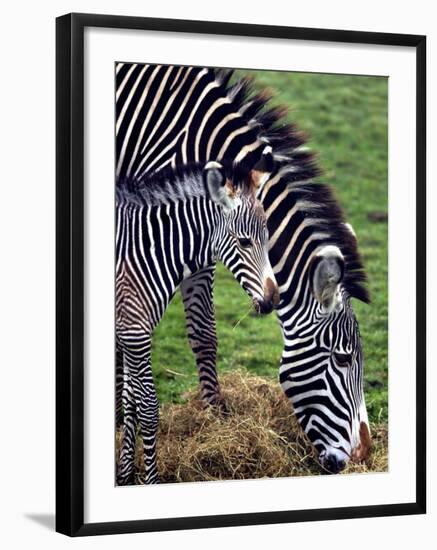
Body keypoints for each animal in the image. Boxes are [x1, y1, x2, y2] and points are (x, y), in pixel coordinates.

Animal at [115, 162, 280, 486]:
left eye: (268, 238)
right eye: (244, 242)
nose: (272, 301)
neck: (145, 252)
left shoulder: (129, 333)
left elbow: (130, 403)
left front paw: (125, 473)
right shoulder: (135, 333)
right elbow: (147, 408)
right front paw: (150, 481)